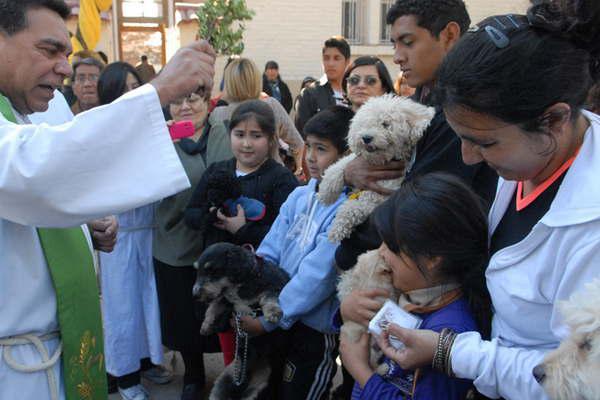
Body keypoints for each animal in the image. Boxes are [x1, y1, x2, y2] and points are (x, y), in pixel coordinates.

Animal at [193, 242, 290, 400]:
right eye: (198, 271)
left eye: (213, 270)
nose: (194, 295)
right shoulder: (227, 300)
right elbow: (214, 306)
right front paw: (206, 325)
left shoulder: (274, 287)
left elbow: (269, 298)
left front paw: (274, 313)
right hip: (227, 379)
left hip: (260, 385)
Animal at [322, 95, 434, 242]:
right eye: (364, 124)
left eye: (385, 124)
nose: (366, 138)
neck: (381, 161)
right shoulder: (356, 161)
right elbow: (337, 168)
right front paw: (324, 194)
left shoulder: (378, 200)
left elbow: (351, 209)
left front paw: (337, 228)